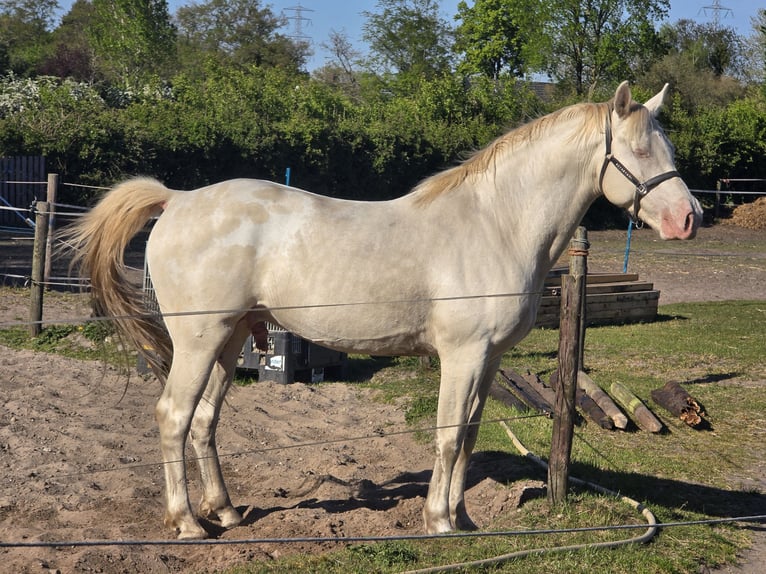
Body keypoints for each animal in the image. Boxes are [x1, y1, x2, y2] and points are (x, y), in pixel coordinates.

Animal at [67, 82, 702, 539]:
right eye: (639, 149)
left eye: (666, 149)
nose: (688, 218)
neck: (495, 223)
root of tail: (176, 200)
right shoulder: (462, 356)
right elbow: (448, 436)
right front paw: (439, 522)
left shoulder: (489, 360)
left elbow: (469, 436)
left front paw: (464, 518)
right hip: (198, 342)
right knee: (174, 417)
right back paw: (188, 524)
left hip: (228, 341)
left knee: (203, 422)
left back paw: (223, 511)